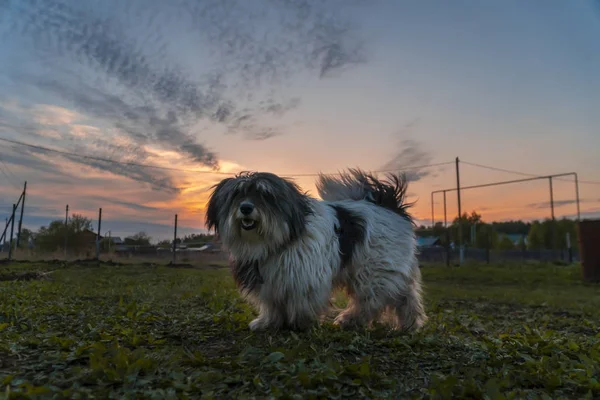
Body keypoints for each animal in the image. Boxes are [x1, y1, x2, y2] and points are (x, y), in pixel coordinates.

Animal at [206, 167, 426, 332]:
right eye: (236, 194)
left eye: (265, 195)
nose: (245, 208)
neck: (277, 241)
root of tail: (388, 205)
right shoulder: (270, 278)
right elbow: (272, 302)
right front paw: (268, 322)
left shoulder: (305, 276)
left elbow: (302, 300)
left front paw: (301, 323)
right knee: (405, 296)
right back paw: (409, 325)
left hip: (375, 269)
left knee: (372, 299)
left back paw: (351, 319)